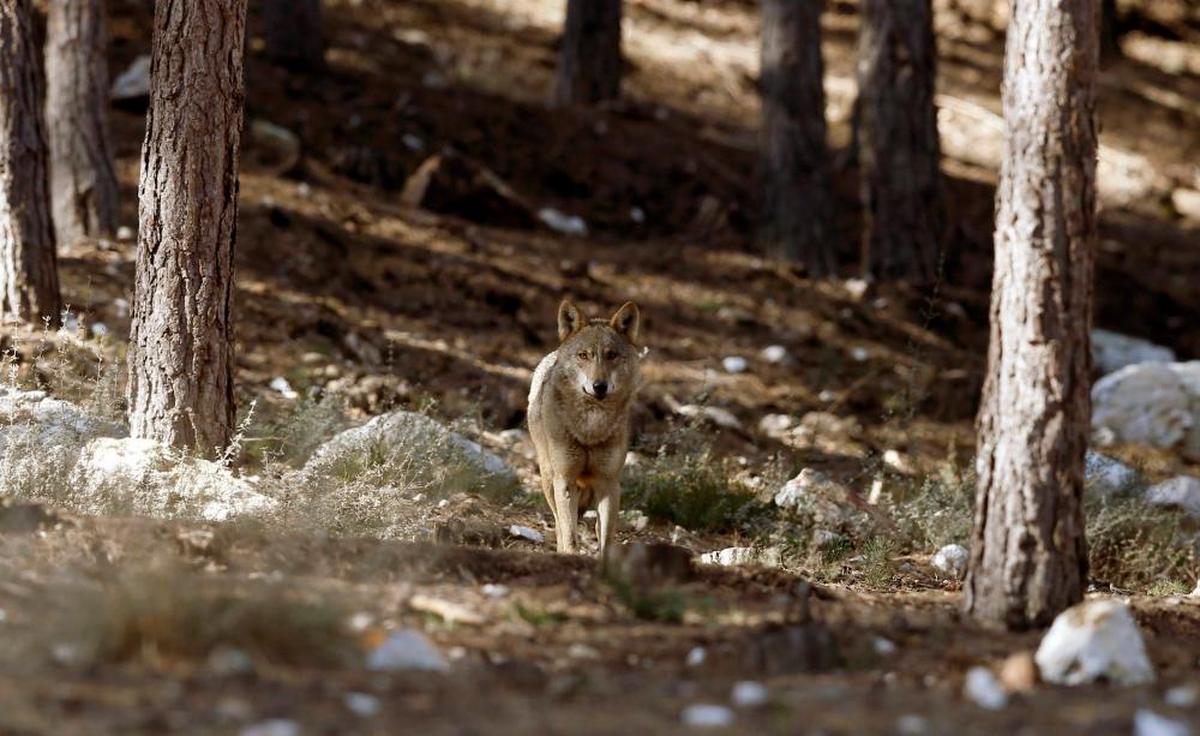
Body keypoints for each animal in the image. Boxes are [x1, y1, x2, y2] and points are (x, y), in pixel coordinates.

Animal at [530, 301, 643, 554]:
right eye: (584, 355)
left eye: (611, 355)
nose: (599, 386)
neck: (591, 429)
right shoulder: (565, 480)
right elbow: (570, 536)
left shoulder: (609, 483)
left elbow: (606, 541)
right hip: (549, 480)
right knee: (559, 526)